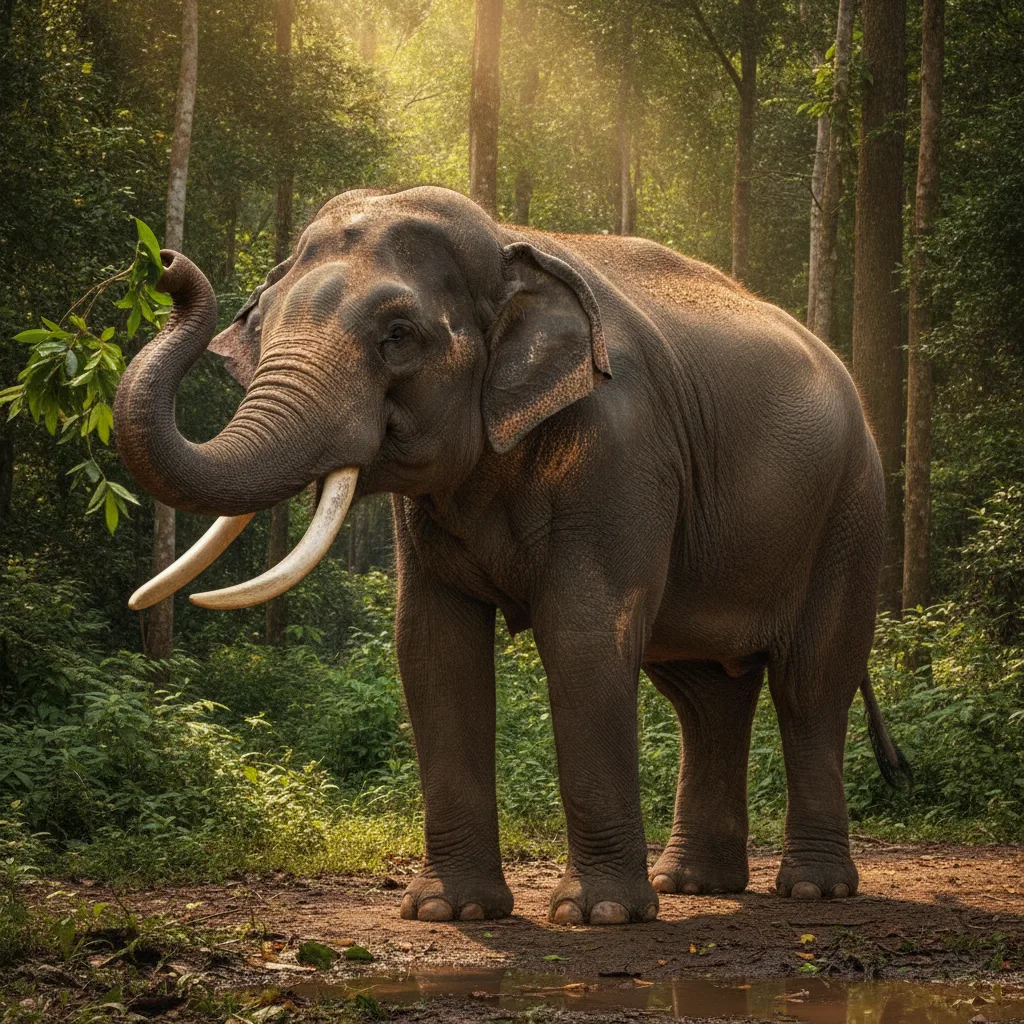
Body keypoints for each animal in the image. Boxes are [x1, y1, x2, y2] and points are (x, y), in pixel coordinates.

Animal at [113, 185, 910, 926]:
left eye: (398, 334)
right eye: (265, 320)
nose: (166, 261)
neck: (507, 242)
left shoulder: (622, 450)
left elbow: (583, 636)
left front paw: (598, 916)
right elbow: (431, 647)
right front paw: (450, 911)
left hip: (851, 511)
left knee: (810, 684)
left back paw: (811, 890)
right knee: (704, 696)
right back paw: (692, 885)